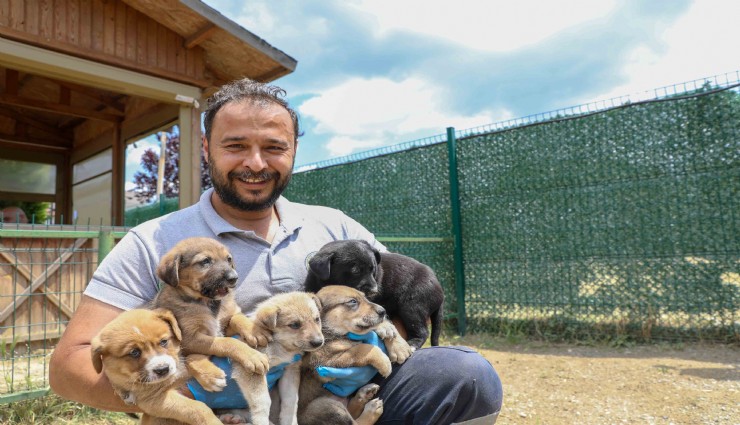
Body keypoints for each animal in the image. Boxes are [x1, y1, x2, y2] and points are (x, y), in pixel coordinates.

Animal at [91, 308, 223, 424]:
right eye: (134, 352)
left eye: (163, 342)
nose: (163, 369)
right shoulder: (154, 401)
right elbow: (198, 408)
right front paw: (213, 422)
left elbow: (192, 357)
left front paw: (212, 377)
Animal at [152, 237, 274, 424]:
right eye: (205, 261)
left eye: (229, 259)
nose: (234, 278)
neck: (208, 303)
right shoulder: (190, 338)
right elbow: (226, 343)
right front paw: (252, 356)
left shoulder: (224, 323)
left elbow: (236, 318)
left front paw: (255, 330)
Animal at [300, 284, 416, 424]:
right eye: (353, 301)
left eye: (365, 297)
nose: (383, 311)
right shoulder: (327, 360)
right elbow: (362, 348)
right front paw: (385, 363)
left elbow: (370, 330)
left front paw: (398, 343)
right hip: (327, 406)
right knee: (356, 422)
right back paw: (371, 410)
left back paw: (364, 394)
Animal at [302, 238, 442, 348]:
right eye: (355, 270)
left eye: (373, 269)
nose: (375, 290)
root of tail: (440, 289)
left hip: (413, 306)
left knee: (422, 331)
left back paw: (412, 344)